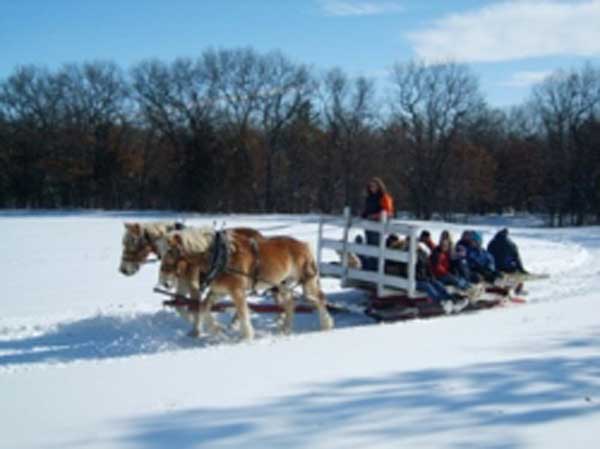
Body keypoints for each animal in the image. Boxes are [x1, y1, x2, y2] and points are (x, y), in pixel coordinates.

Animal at [158, 226, 332, 338]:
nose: (163, 282)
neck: (219, 257)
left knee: (320, 298)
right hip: (283, 284)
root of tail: (305, 245)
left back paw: (326, 324)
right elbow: (204, 307)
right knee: (290, 304)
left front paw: (246, 336)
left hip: (307, 282)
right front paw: (217, 331)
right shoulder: (219, 291)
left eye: (170, 252)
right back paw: (285, 329)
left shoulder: (237, 291)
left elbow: (242, 312)